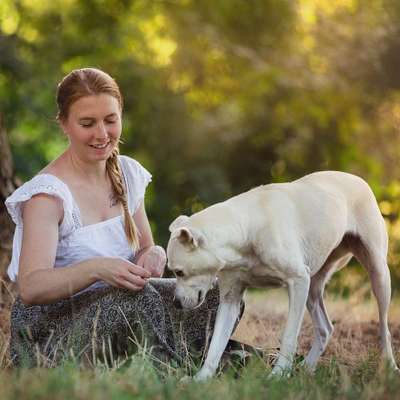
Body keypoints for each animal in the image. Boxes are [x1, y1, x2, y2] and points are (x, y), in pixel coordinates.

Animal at [166, 170, 396, 380]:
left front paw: (278, 375)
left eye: (179, 271)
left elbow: (288, 337)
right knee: (325, 329)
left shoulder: (298, 281)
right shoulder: (231, 300)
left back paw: (390, 367)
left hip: (378, 275)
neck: (247, 228)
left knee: (384, 329)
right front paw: (201, 378)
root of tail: (356, 178)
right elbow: (216, 344)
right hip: (313, 287)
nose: (175, 303)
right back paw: (306, 370)